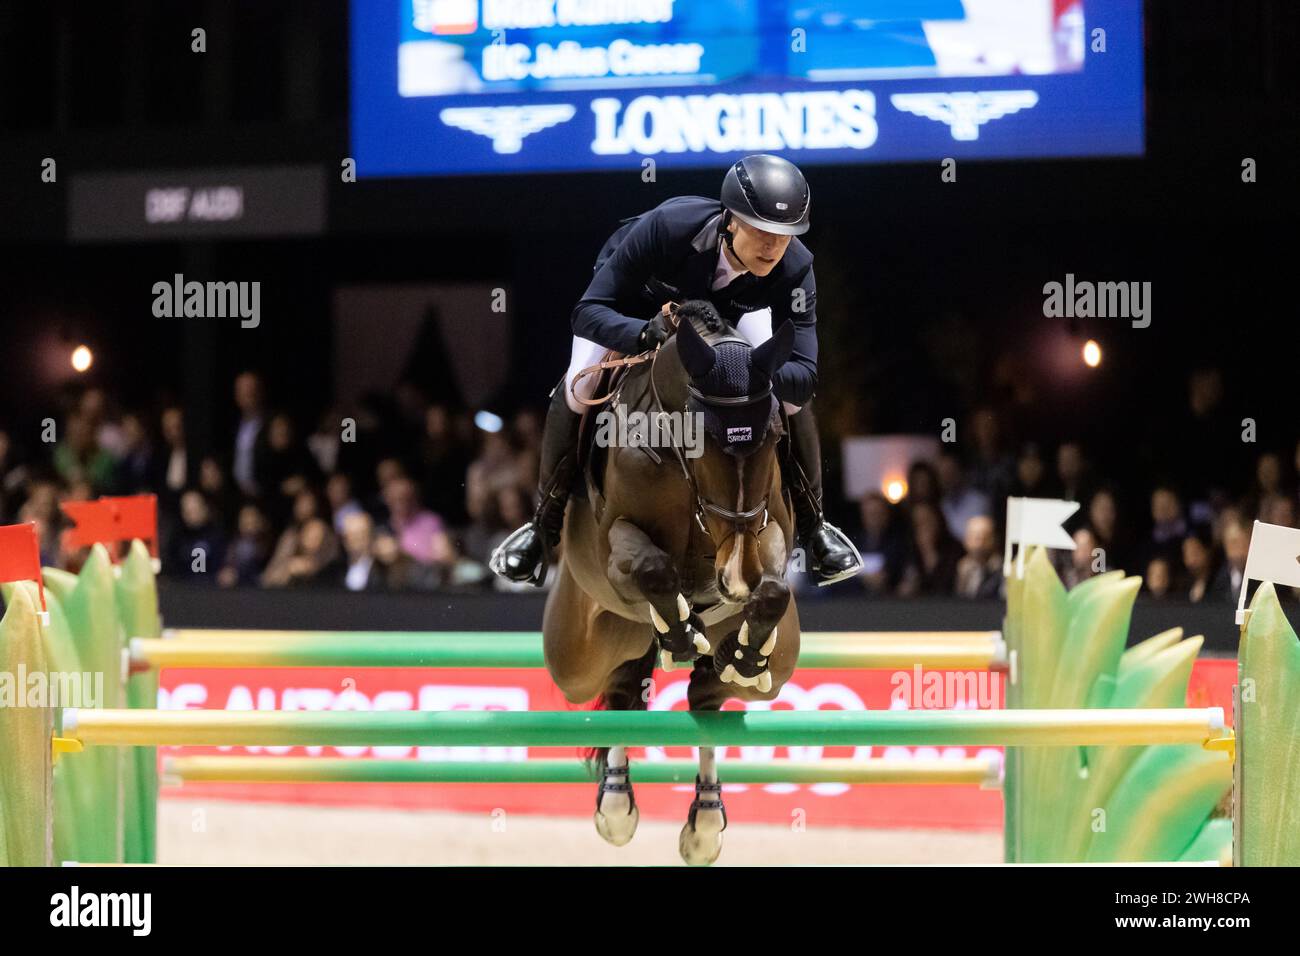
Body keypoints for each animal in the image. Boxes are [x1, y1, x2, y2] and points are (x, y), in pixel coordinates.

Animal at [540, 300, 800, 868]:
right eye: (702, 441)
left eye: (774, 437)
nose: (736, 578)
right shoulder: (616, 550)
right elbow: (654, 568)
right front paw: (679, 633)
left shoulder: (766, 530)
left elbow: (775, 589)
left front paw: (744, 651)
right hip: (578, 655)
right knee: (618, 691)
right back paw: (617, 807)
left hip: (782, 663)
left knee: (707, 694)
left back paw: (704, 822)